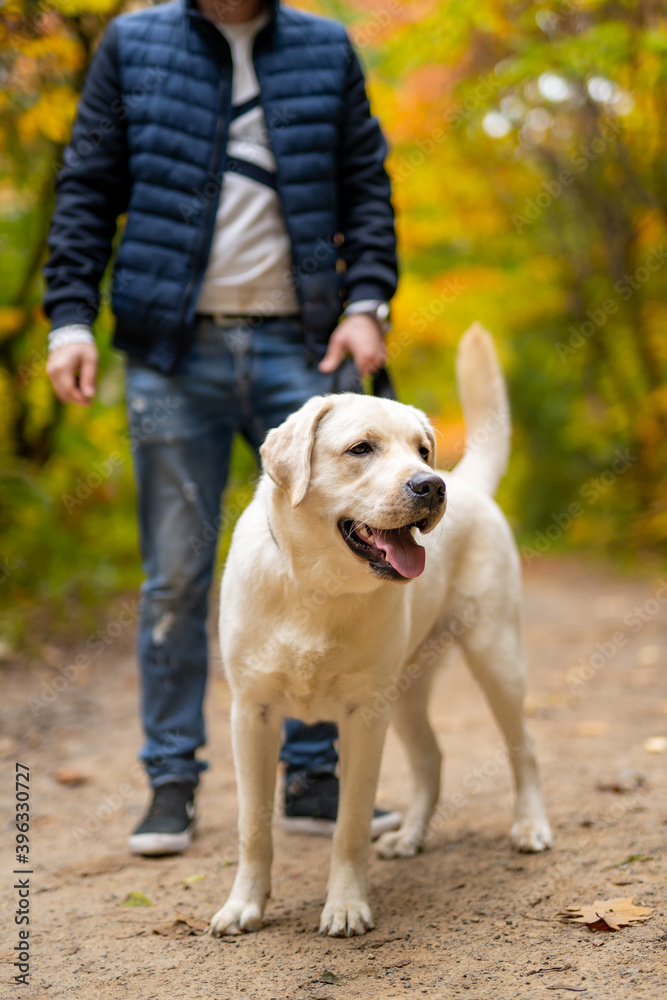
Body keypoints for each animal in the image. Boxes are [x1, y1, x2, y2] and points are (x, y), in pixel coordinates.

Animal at [210, 326, 552, 936]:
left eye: (421, 449)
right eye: (361, 449)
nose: (431, 486)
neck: (317, 587)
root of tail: (468, 481)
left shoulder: (364, 715)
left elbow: (349, 826)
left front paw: (346, 905)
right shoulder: (251, 714)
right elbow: (254, 826)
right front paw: (244, 904)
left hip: (496, 658)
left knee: (524, 748)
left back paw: (530, 826)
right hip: (407, 690)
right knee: (431, 759)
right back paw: (410, 837)